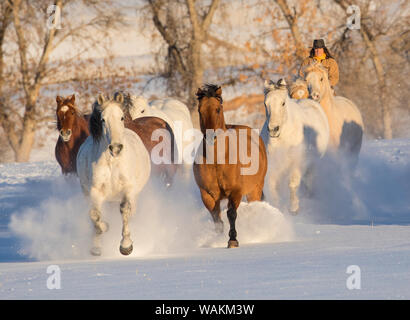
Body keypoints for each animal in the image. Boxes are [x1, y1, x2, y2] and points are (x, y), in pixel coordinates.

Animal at [76, 92, 151, 255]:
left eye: (121, 117)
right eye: (103, 119)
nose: (116, 148)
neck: (112, 162)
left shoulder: (128, 189)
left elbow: (125, 210)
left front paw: (126, 246)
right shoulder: (95, 191)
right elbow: (95, 215)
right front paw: (97, 244)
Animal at [193, 84, 268, 248]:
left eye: (218, 109)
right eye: (200, 111)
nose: (211, 137)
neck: (217, 161)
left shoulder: (235, 192)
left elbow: (231, 214)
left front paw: (233, 240)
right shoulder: (207, 195)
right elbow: (217, 219)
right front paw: (218, 239)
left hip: (255, 189)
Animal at [262, 79, 330, 214]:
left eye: (283, 103)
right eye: (265, 104)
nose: (273, 129)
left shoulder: (297, 163)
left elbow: (293, 184)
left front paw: (294, 208)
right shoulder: (273, 164)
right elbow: (272, 186)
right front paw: (277, 207)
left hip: (312, 164)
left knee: (309, 180)